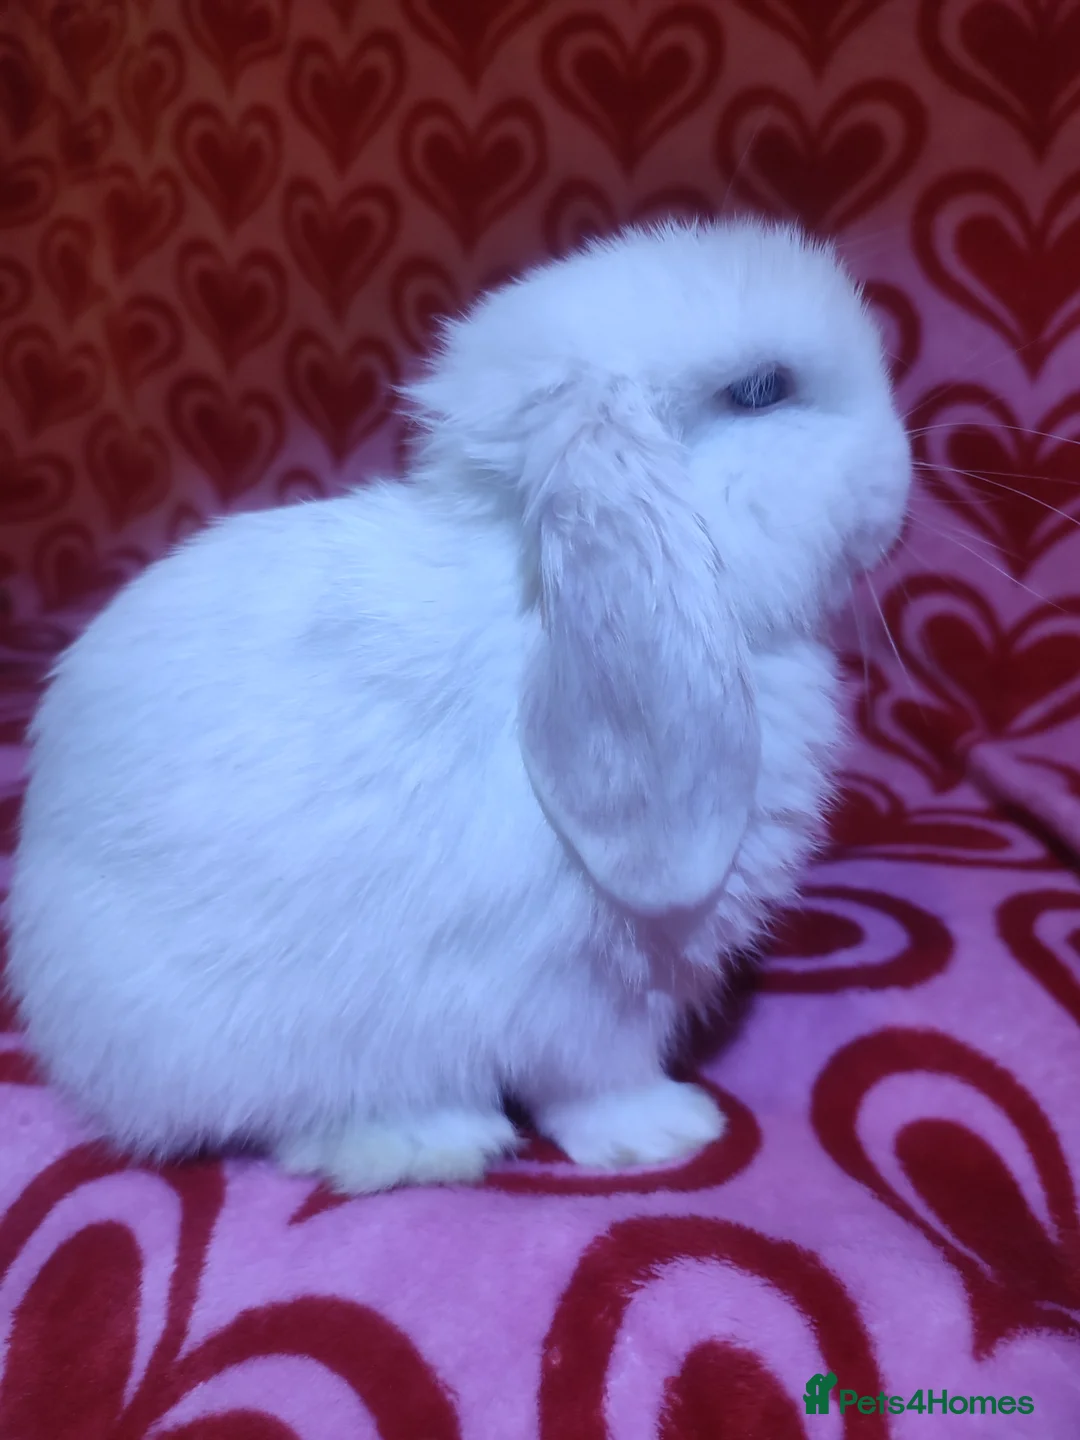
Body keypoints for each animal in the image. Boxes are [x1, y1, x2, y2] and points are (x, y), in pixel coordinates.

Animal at [4, 218, 911, 1194]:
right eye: (761, 390)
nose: (899, 478)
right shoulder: (581, 995)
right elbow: (599, 1082)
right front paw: (671, 1132)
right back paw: (433, 1139)